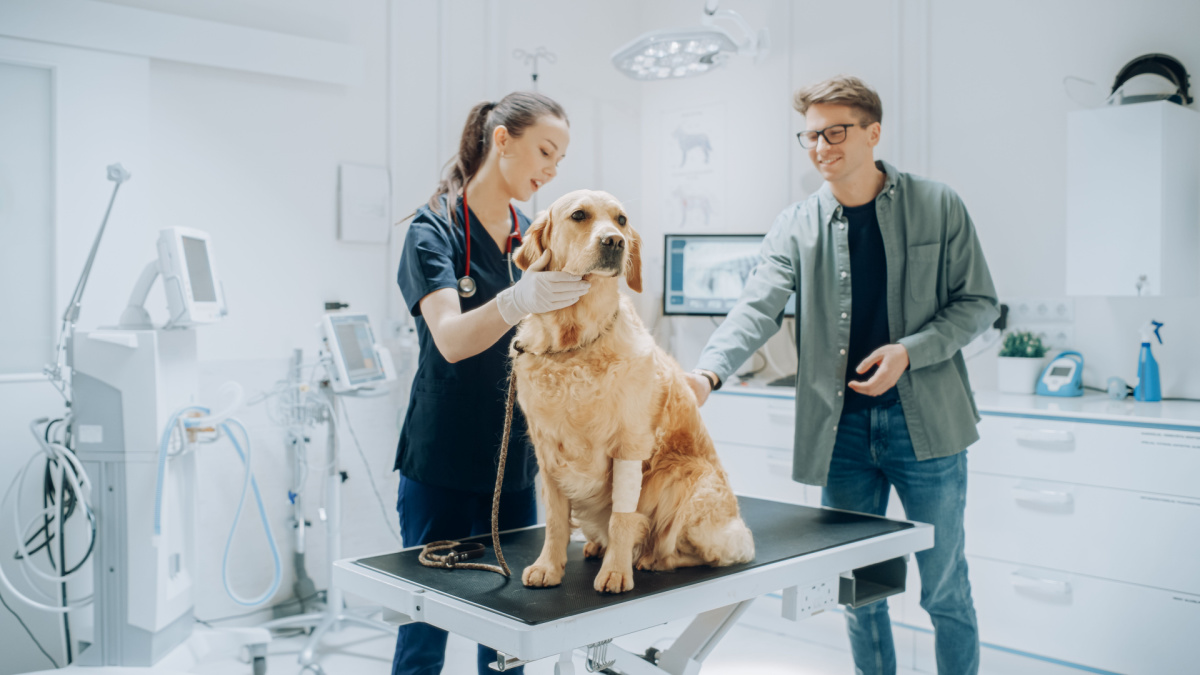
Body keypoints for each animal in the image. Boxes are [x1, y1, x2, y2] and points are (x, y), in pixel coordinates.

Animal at [511, 187, 753, 588]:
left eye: (621, 220)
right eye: (579, 215)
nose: (614, 241)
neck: (575, 344)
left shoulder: (629, 444)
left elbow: (623, 517)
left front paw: (615, 571)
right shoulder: (547, 452)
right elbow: (556, 521)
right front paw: (548, 566)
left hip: (684, 481)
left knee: (701, 551)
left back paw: (650, 558)